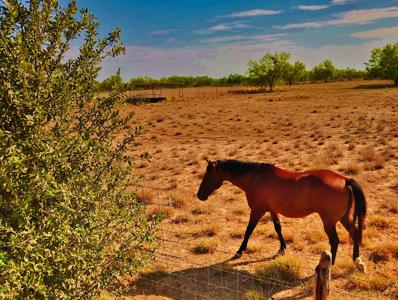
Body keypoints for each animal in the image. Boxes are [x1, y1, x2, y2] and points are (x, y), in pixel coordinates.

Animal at [197, 159, 366, 270]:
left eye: (207, 175)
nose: (199, 195)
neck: (255, 177)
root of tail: (345, 180)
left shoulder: (257, 210)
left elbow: (248, 230)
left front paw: (239, 251)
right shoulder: (272, 210)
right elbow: (278, 228)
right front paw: (282, 249)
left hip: (329, 221)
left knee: (335, 241)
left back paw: (331, 264)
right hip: (344, 218)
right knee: (355, 233)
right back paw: (357, 260)